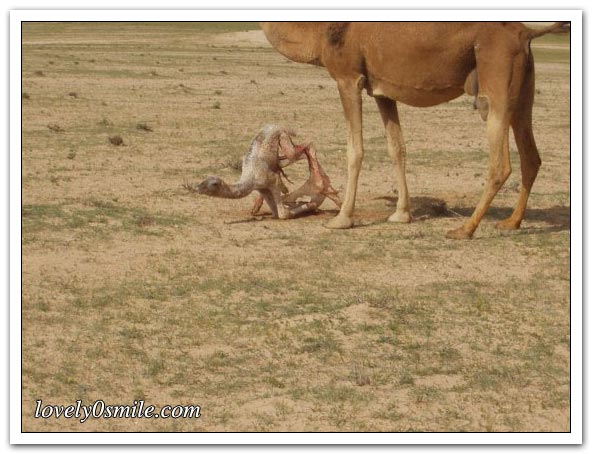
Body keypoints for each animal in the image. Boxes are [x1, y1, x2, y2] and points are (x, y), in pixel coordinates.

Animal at [260, 22, 568, 238]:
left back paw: (465, 229)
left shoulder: (348, 78)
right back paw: (511, 222)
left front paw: (342, 219)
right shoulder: (382, 91)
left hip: (496, 79)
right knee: (531, 156)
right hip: (523, 89)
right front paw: (401, 214)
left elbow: (355, 150)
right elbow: (397, 148)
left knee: (501, 163)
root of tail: (526, 32)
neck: (321, 30)